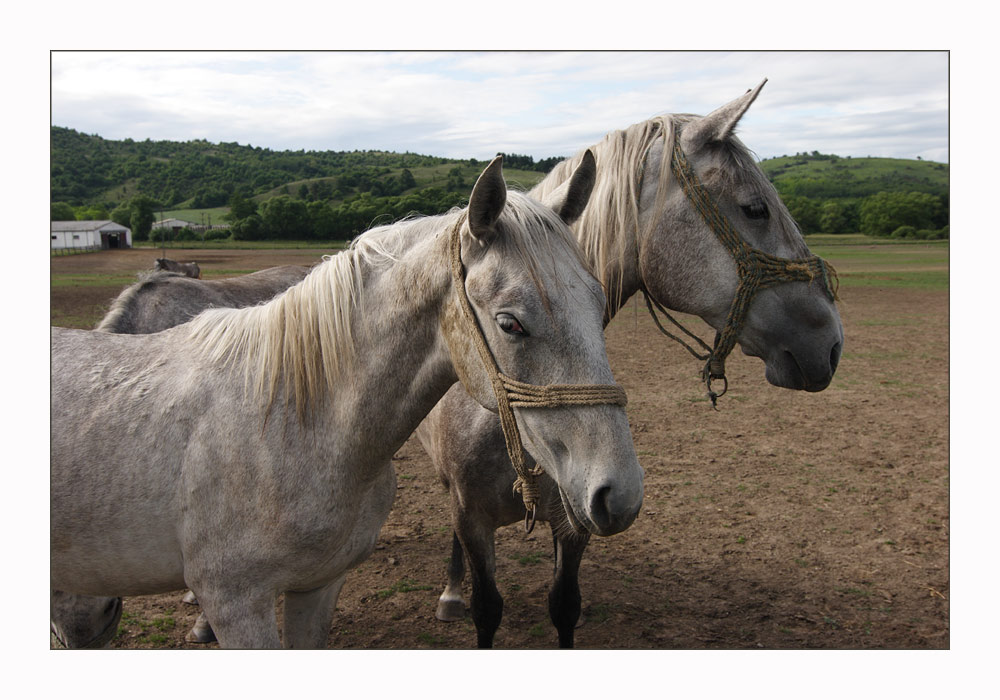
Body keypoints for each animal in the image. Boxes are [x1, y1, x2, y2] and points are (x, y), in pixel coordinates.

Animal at [50, 156, 644, 648]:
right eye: (510, 323)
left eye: (599, 303)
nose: (620, 495)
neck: (290, 421)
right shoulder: (236, 602)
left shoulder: (318, 586)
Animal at [414, 79, 844, 648]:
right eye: (755, 209)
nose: (831, 341)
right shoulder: (472, 517)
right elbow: (487, 609)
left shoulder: (574, 520)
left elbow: (565, 606)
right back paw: (450, 593)